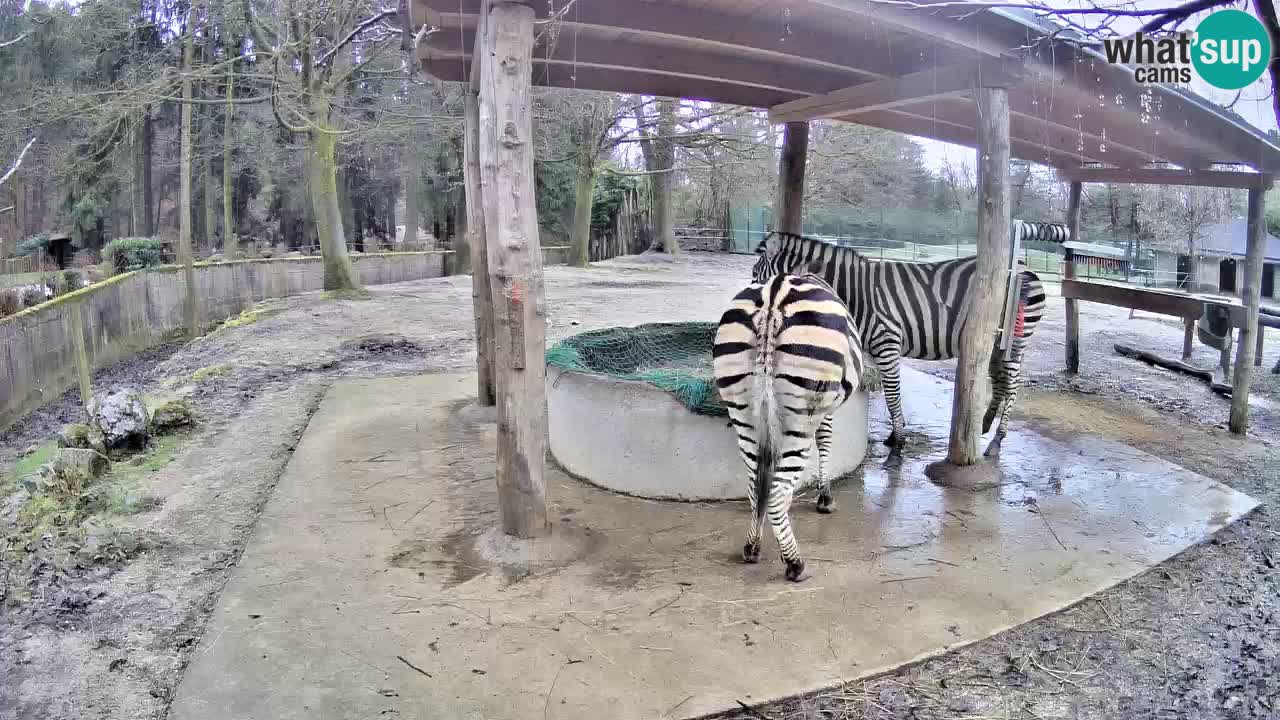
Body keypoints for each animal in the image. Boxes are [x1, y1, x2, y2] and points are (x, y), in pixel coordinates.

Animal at [716, 266, 865, 579]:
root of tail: (772, 301)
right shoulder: (825, 410)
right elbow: (825, 441)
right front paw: (825, 498)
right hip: (802, 411)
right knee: (775, 491)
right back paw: (795, 563)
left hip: (742, 410)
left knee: (755, 484)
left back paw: (753, 547)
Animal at [747, 221, 1070, 453]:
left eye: (756, 272)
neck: (855, 291)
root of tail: (1025, 268)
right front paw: (896, 434)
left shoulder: (886, 342)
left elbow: (892, 394)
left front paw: (899, 441)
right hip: (994, 342)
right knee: (1001, 381)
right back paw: (983, 426)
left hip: (1016, 338)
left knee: (1012, 384)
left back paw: (997, 440)